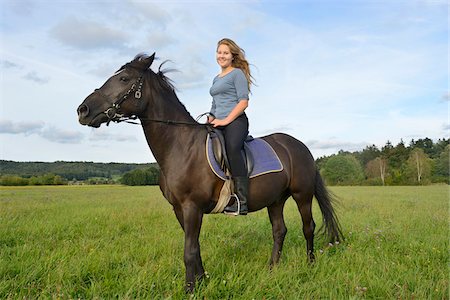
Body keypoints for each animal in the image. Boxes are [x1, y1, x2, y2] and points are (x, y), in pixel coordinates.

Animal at [78, 53, 344, 292]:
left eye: (123, 79)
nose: (83, 110)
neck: (181, 146)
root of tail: (300, 146)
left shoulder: (191, 207)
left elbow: (189, 251)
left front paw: (190, 289)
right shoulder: (179, 209)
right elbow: (194, 248)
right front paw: (202, 281)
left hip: (302, 195)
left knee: (308, 227)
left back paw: (310, 265)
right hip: (276, 200)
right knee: (279, 231)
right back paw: (272, 269)